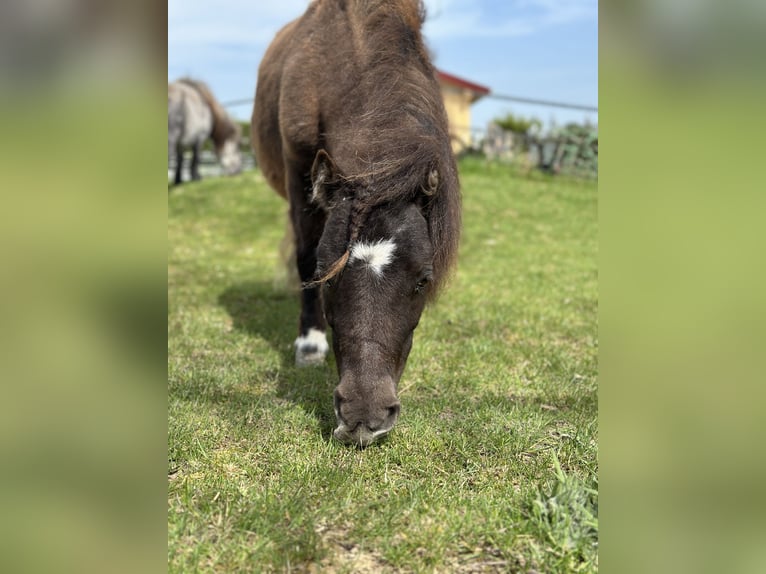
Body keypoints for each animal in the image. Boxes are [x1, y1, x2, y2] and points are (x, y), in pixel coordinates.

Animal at [254, 0, 462, 450]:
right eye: (327, 277)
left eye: (423, 280)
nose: (365, 418)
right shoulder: (300, 171)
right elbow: (303, 255)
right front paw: (309, 344)